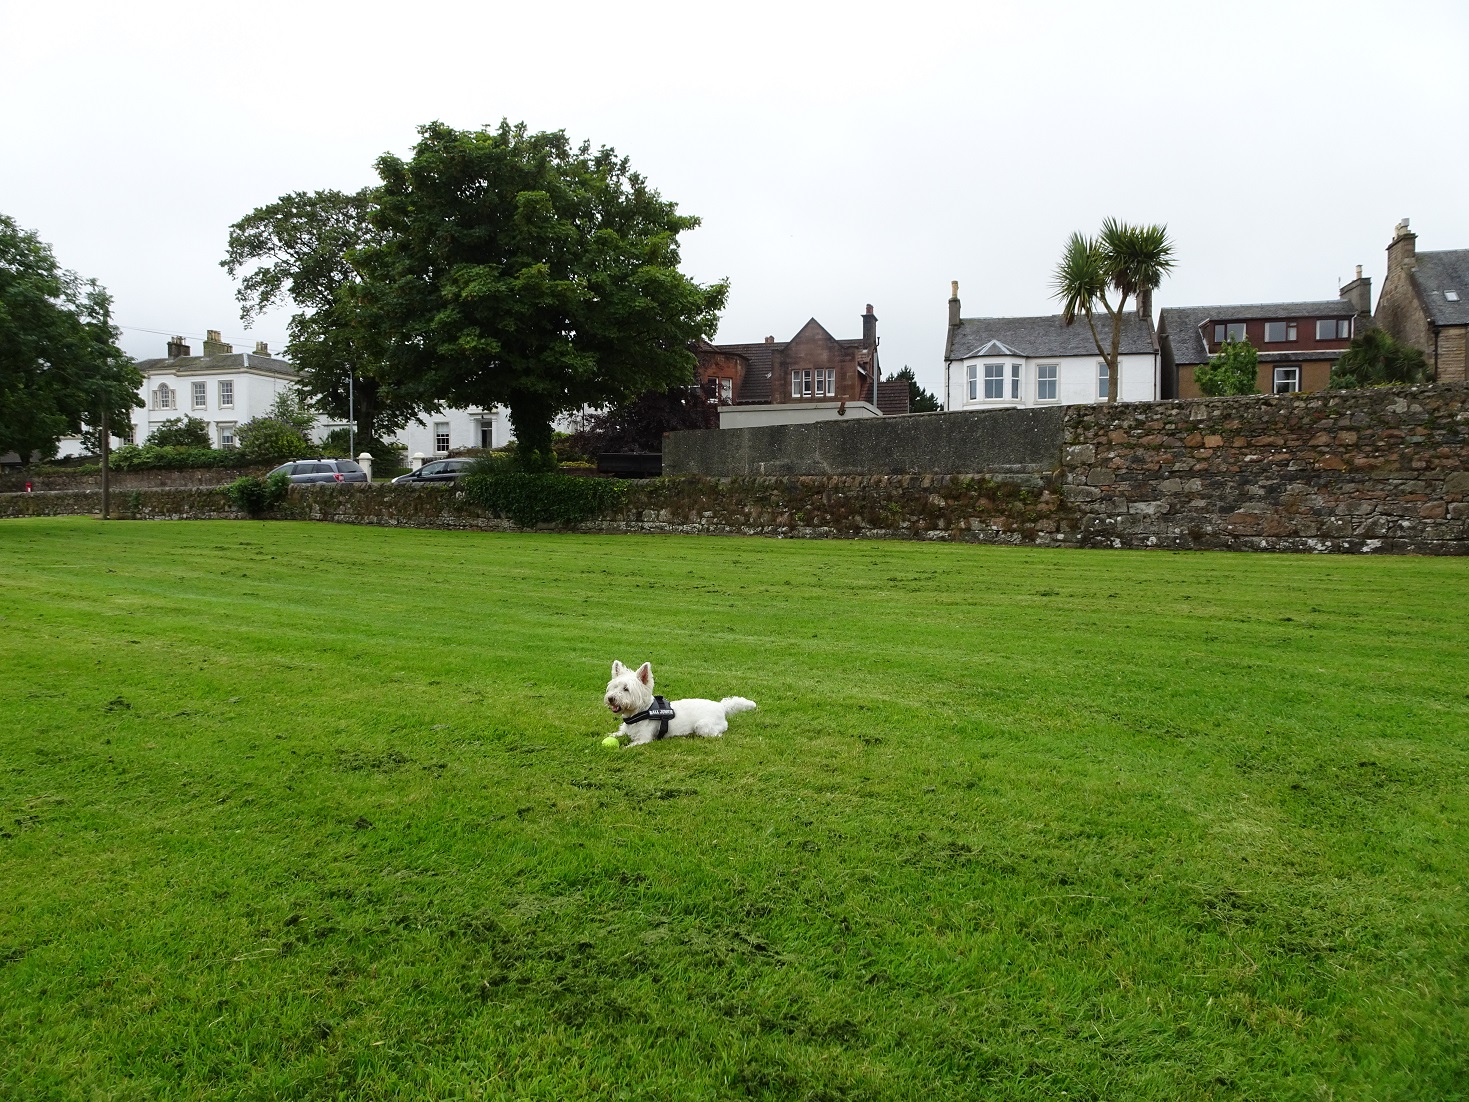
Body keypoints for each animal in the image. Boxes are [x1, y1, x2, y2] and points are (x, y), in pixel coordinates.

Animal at [602, 661, 758, 746]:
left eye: (626, 689)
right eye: (614, 687)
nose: (611, 698)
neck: (641, 712)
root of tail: (721, 706)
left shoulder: (644, 739)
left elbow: (628, 746)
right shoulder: (624, 730)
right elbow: (615, 734)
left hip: (703, 726)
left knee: (717, 734)